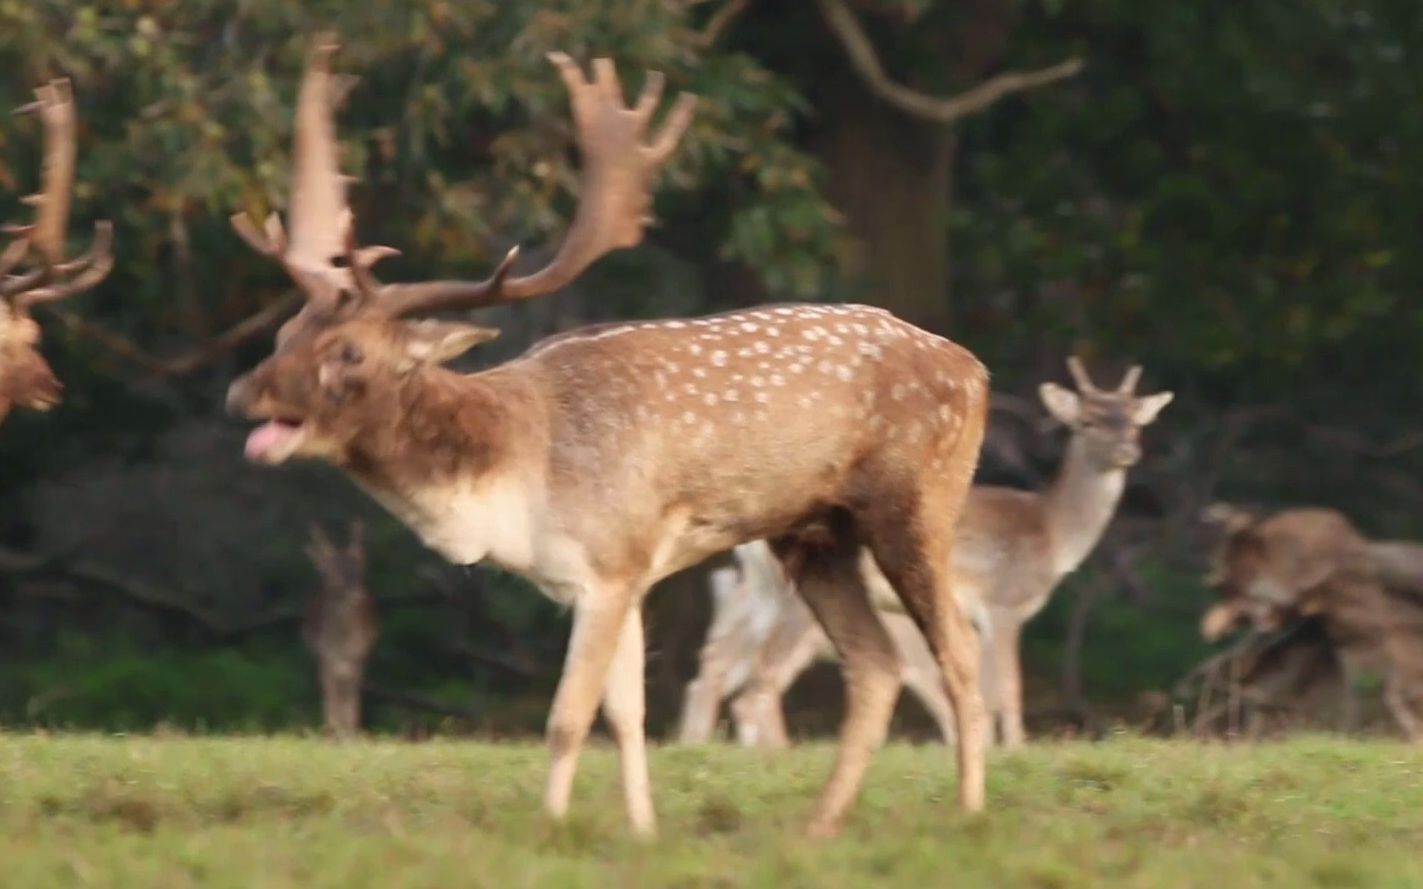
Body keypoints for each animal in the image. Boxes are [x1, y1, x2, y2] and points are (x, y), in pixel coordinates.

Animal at [227, 38, 996, 836]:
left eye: (349, 351)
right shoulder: (619, 575)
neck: (515, 477)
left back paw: (968, 812)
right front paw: (643, 830)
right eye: (284, 333)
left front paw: (551, 827)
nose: (243, 392)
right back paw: (817, 827)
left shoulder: (609, 560)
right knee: (877, 664)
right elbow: (627, 714)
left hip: (918, 499)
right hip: (814, 533)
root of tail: (976, 370)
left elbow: (568, 716)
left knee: (959, 652)